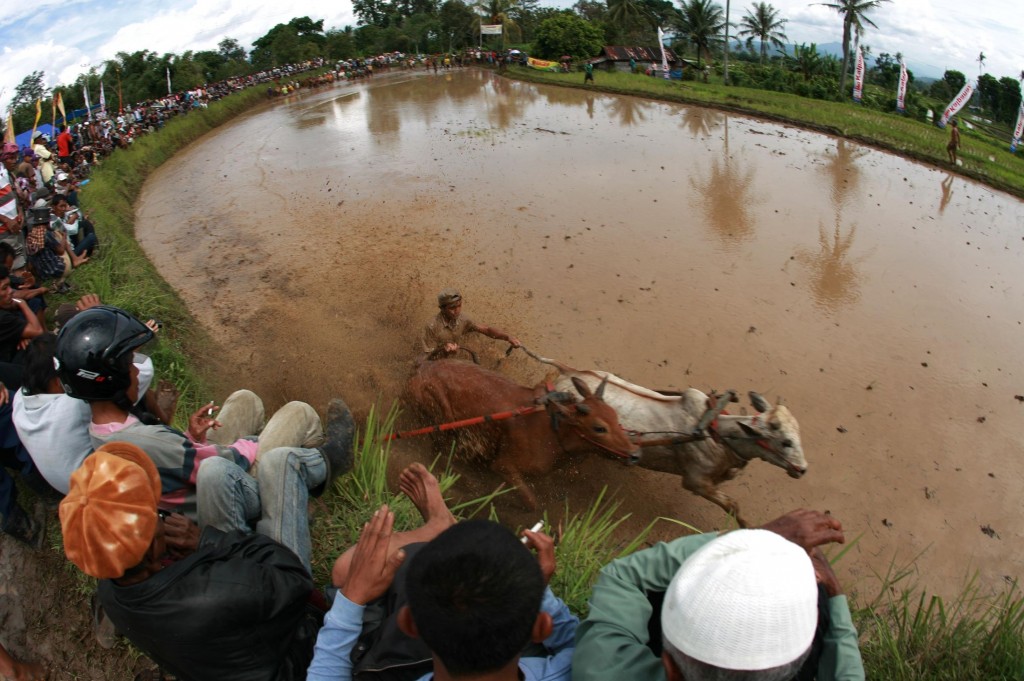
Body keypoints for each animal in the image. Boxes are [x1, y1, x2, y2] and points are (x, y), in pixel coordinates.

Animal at [403, 358, 634, 507]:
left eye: (615, 417)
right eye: (599, 427)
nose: (634, 453)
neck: (553, 432)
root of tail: (421, 367)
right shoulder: (504, 467)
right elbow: (532, 503)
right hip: (440, 421)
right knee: (439, 453)